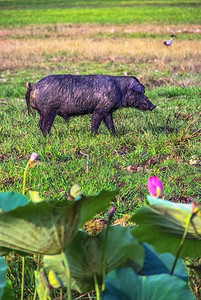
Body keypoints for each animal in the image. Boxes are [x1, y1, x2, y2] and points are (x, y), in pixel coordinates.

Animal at [25, 74, 156, 135]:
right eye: (139, 92)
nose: (153, 106)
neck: (120, 90)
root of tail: (33, 86)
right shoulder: (99, 109)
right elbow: (95, 123)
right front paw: (93, 135)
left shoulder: (108, 110)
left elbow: (110, 124)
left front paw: (115, 135)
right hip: (48, 111)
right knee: (45, 125)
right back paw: (49, 137)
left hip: (42, 112)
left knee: (40, 124)